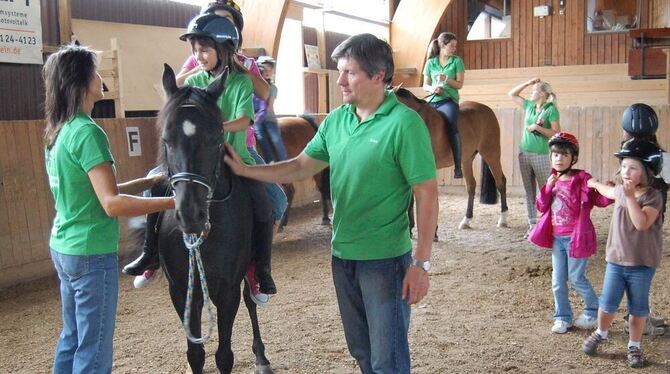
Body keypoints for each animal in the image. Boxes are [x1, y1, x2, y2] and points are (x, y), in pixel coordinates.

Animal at [158, 65, 272, 374]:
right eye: (166, 139)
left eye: (216, 137)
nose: (190, 214)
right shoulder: (180, 290)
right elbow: (195, 354)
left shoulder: (227, 289)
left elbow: (224, 355)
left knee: (251, 300)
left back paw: (261, 357)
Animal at [394, 87, 510, 229]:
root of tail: (487, 109)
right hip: (466, 159)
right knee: (471, 186)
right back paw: (466, 220)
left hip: (491, 153)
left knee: (501, 182)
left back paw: (503, 219)